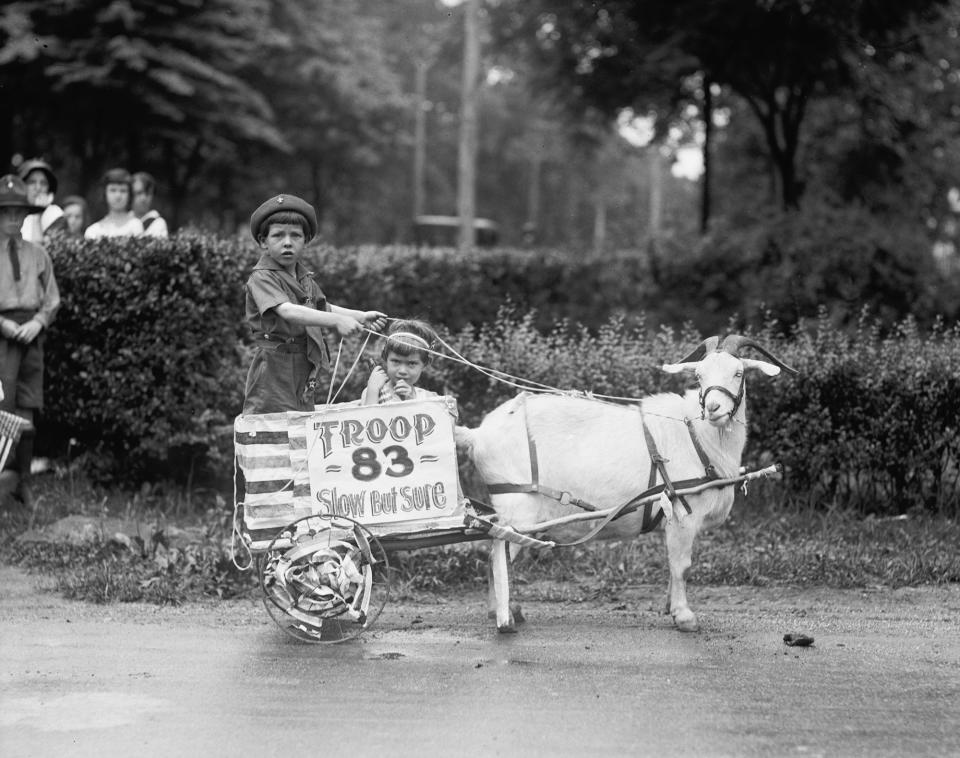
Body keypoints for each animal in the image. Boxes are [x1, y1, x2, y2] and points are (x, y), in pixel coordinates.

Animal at [458, 338, 796, 636]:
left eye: (738, 373)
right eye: (699, 375)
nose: (713, 408)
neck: (696, 434)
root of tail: (477, 434)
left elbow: (672, 565)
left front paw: (670, 607)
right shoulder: (684, 512)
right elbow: (682, 565)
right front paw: (685, 617)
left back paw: (508, 610)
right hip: (518, 507)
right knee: (498, 554)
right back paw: (504, 617)